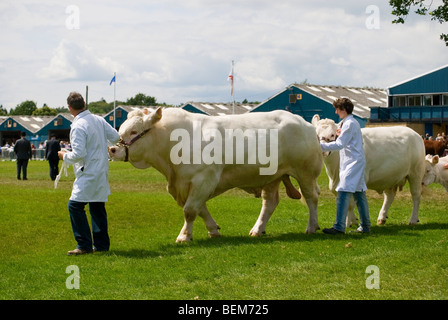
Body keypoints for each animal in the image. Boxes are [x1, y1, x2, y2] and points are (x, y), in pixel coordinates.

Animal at [109, 107, 322, 242]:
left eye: (134, 131)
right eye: (121, 129)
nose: (112, 150)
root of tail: (304, 123)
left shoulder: (204, 178)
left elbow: (190, 210)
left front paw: (184, 236)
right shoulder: (189, 184)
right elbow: (200, 209)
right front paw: (213, 230)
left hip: (305, 172)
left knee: (311, 198)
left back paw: (311, 227)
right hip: (272, 176)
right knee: (270, 202)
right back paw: (257, 229)